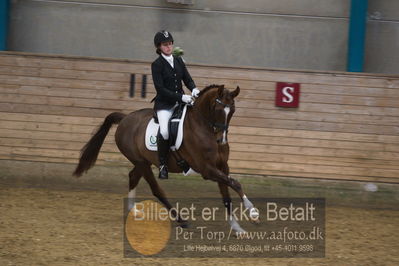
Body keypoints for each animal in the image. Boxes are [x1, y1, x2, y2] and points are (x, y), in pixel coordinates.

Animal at [73, 85, 258, 233]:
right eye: (218, 109)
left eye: (232, 111)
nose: (222, 140)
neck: (204, 128)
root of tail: (125, 118)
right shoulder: (207, 170)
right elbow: (236, 183)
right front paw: (252, 211)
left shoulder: (222, 167)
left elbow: (227, 195)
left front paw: (237, 227)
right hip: (142, 162)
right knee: (156, 189)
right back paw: (181, 220)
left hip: (143, 162)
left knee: (133, 176)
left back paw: (133, 211)